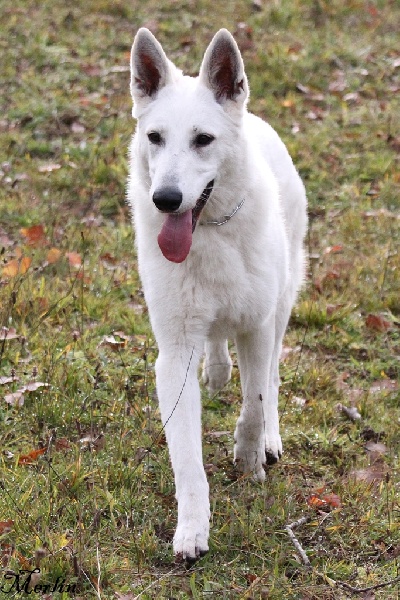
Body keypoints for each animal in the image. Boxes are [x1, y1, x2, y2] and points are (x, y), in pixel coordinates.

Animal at [127, 27, 306, 564]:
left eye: (202, 140)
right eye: (155, 138)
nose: (165, 199)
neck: (210, 232)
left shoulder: (257, 327)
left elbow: (254, 402)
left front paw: (249, 459)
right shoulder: (174, 352)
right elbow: (186, 459)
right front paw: (191, 530)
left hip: (283, 302)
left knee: (271, 379)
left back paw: (268, 437)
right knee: (219, 348)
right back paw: (219, 371)